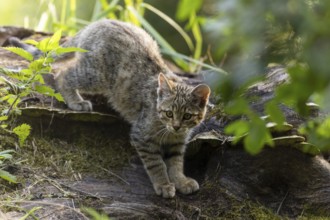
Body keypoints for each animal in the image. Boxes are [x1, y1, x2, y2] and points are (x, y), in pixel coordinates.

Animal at [12, 19, 211, 198]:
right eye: (169, 113)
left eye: (187, 116)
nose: (176, 126)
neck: (167, 130)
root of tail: (99, 23)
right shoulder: (142, 136)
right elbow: (156, 164)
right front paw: (163, 184)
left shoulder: (178, 143)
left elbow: (176, 163)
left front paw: (181, 181)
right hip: (95, 76)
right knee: (64, 73)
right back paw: (76, 100)